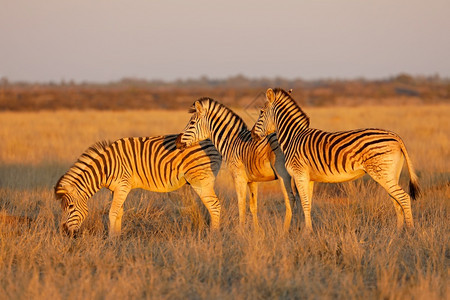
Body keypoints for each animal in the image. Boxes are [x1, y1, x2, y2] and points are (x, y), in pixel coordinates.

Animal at [54, 135, 221, 237]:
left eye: (70, 207)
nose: (65, 232)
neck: (106, 168)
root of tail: (210, 141)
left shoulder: (123, 185)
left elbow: (112, 213)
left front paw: (111, 239)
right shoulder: (116, 189)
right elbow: (119, 212)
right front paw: (118, 237)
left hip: (201, 180)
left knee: (214, 205)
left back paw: (213, 236)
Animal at [174, 98, 298, 232]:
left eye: (192, 123)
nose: (177, 142)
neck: (232, 142)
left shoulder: (239, 177)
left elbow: (241, 204)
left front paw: (241, 231)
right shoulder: (252, 180)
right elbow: (253, 206)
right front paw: (256, 232)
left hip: (283, 174)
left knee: (290, 198)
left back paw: (284, 231)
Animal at [251, 88, 420, 231]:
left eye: (261, 112)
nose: (252, 134)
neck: (293, 137)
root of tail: (395, 136)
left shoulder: (300, 174)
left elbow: (304, 203)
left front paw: (307, 233)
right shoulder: (309, 178)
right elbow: (308, 204)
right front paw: (309, 231)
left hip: (382, 173)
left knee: (404, 198)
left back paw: (410, 231)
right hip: (391, 174)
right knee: (396, 200)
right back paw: (397, 233)